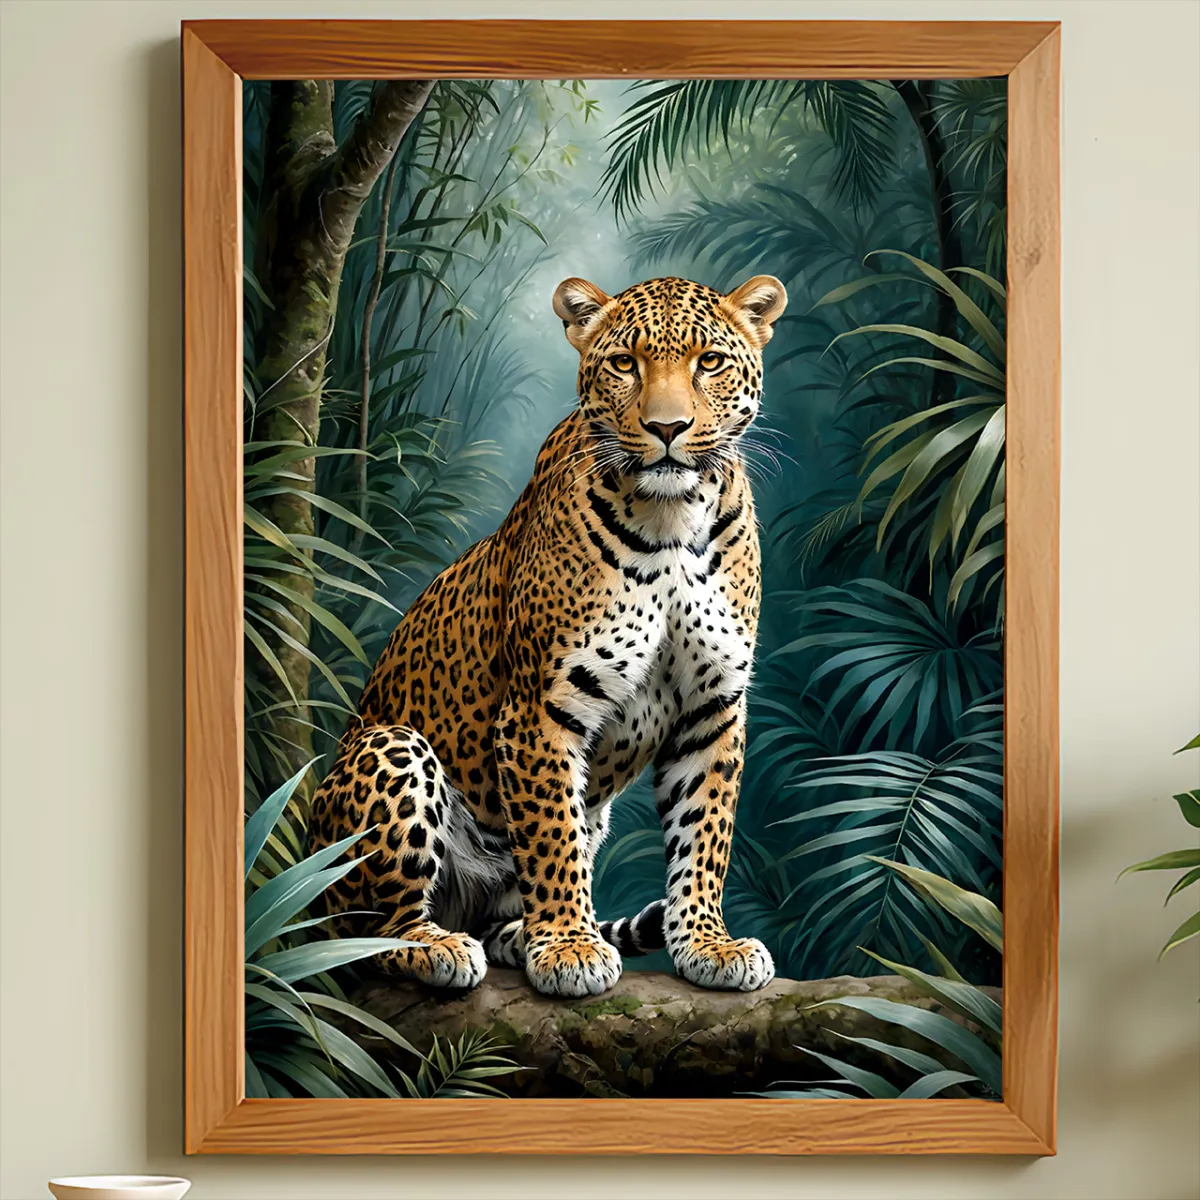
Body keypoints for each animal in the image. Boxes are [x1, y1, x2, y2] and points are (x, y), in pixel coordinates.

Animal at [308, 271, 788, 999]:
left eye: (709, 362)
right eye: (625, 364)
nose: (667, 428)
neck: (672, 521)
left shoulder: (713, 706)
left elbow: (704, 835)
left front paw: (708, 943)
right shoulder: (542, 704)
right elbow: (551, 835)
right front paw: (569, 948)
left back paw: (515, 936)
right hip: (391, 751)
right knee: (365, 934)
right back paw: (439, 947)